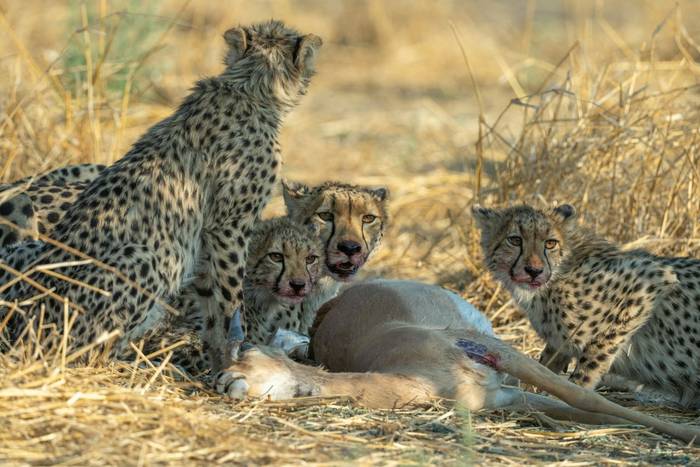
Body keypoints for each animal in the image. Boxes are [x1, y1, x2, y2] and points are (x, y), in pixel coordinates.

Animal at [0, 20, 322, 373]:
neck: (248, 87)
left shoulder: (207, 237)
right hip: (152, 256)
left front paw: (216, 356)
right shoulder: (229, 226)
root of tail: (20, 333)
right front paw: (236, 352)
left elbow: (209, 301)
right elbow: (230, 297)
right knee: (89, 352)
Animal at [472, 203, 700, 407]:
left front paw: (572, 393)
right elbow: (546, 361)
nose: (534, 271)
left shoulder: (651, 279)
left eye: (550, 243)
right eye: (514, 240)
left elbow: (594, 356)